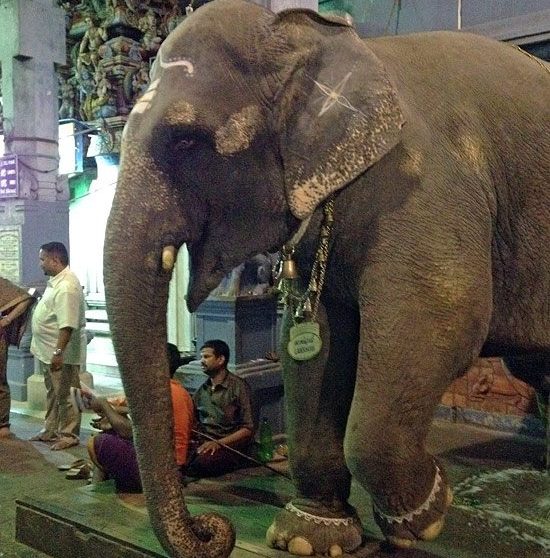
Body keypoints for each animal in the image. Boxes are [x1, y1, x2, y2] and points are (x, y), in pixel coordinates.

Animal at [104, 2, 550, 556]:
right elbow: (315, 342)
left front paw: (423, 519)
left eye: (186, 140)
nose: (214, 528)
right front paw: (308, 536)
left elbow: (446, 314)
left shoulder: (426, 187)